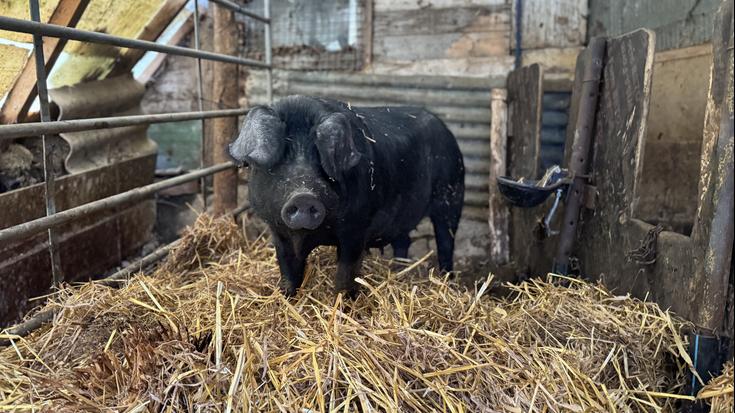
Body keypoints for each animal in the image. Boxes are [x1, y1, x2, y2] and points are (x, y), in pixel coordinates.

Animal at [230, 96, 462, 296]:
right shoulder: (278, 231)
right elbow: (288, 272)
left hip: (451, 196)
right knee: (403, 241)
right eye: (279, 161)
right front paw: (285, 298)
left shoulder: (356, 228)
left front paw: (342, 303)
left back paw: (448, 282)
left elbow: (345, 274)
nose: (303, 196)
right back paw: (398, 273)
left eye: (320, 159)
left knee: (446, 242)